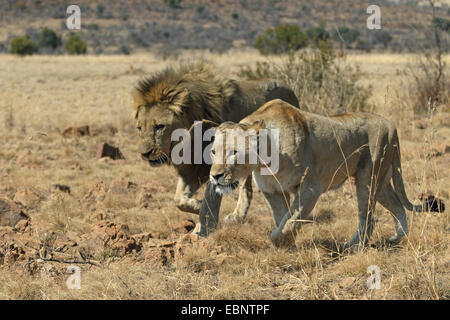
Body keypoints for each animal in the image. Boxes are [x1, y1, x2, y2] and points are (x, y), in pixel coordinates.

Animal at [131, 61, 298, 235]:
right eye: (139, 128)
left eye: (159, 126)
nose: (145, 154)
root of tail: (291, 90)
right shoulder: (191, 170)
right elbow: (179, 200)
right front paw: (198, 207)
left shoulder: (214, 166)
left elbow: (208, 200)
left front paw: (202, 227)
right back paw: (237, 217)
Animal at [208, 99, 442, 249]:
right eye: (213, 152)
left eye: (234, 152)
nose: (215, 176)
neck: (264, 161)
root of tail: (391, 125)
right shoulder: (272, 191)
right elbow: (281, 217)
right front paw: (287, 245)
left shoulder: (311, 187)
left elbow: (290, 220)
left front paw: (280, 240)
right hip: (381, 182)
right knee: (398, 207)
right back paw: (396, 238)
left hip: (368, 178)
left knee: (368, 218)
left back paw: (356, 247)